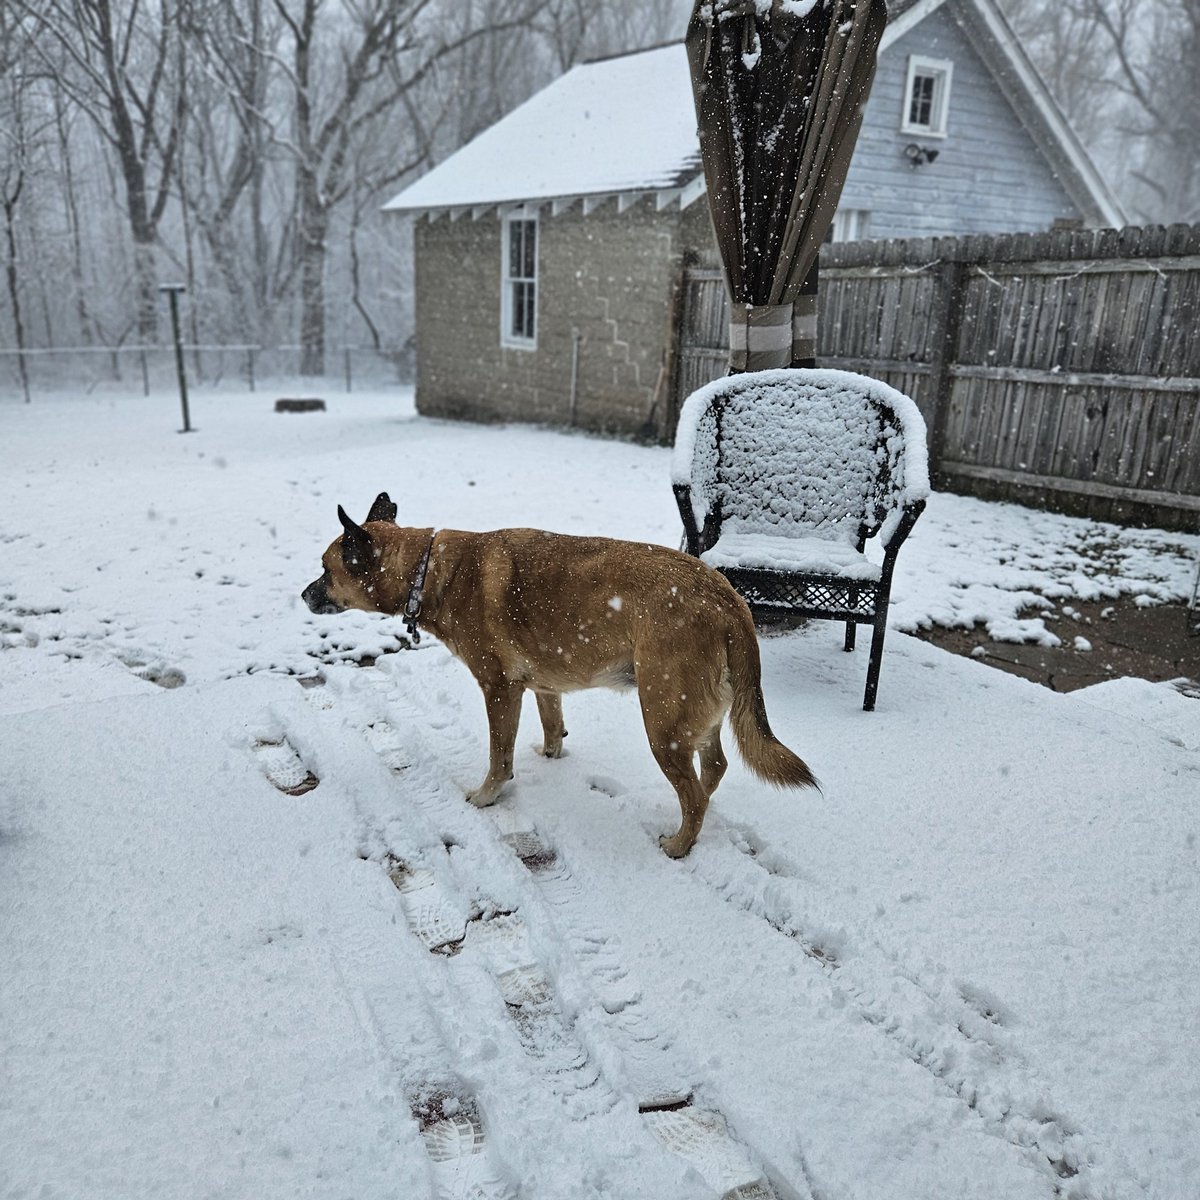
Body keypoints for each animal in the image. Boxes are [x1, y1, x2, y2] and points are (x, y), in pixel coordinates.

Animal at [304, 492, 820, 859]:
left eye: (325, 569)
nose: (304, 595)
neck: (428, 570)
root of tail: (726, 596)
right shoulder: (541, 686)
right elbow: (553, 724)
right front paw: (552, 756)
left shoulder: (499, 689)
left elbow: (499, 756)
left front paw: (486, 797)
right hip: (698, 714)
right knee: (713, 771)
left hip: (662, 722)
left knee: (693, 794)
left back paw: (678, 845)